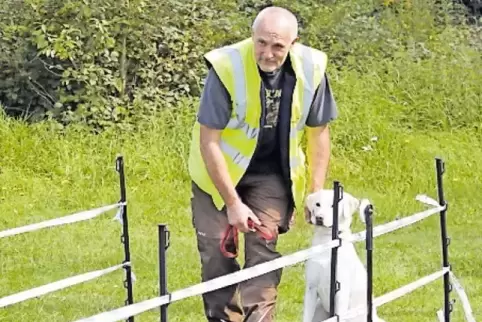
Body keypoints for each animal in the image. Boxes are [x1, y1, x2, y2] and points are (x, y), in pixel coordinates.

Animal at [304, 190, 386, 322]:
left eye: (333, 205)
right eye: (317, 204)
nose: (319, 218)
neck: (326, 242)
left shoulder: (341, 293)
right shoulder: (311, 288)